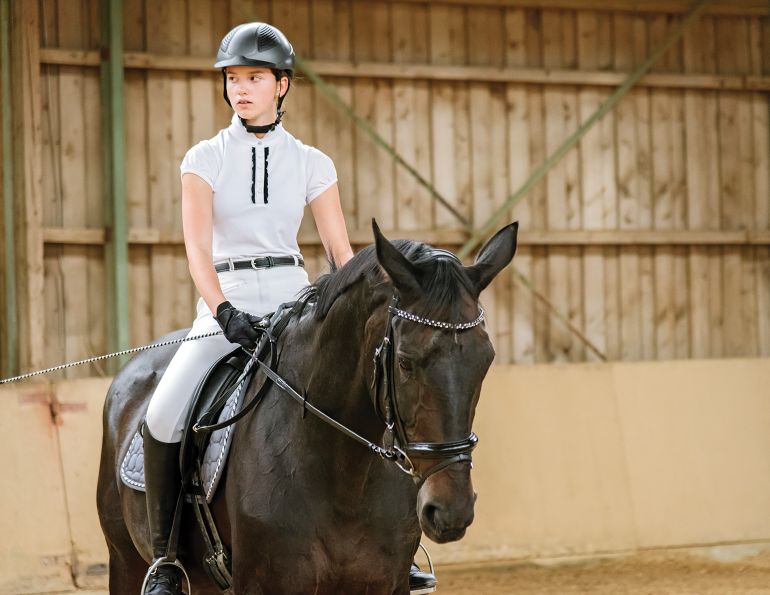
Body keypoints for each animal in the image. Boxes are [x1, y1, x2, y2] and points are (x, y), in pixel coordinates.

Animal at [97, 221, 518, 594]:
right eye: (404, 362)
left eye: (486, 360)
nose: (451, 510)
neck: (344, 474)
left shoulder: (385, 584)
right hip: (124, 559)